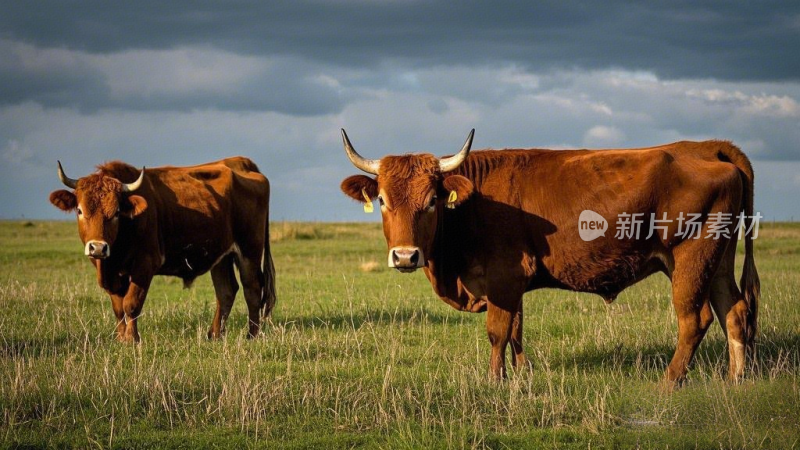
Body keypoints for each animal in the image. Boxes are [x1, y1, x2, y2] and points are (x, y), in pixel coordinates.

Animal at [50, 157, 278, 342]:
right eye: (79, 210)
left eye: (116, 212)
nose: (98, 247)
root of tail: (240, 162)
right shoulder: (114, 274)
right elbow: (118, 308)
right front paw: (121, 338)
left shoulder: (145, 265)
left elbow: (131, 304)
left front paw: (132, 339)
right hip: (221, 256)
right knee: (226, 291)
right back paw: (214, 335)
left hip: (249, 250)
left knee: (252, 289)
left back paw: (251, 336)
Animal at [340, 129, 764, 384]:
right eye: (382, 200)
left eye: (431, 201)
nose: (405, 256)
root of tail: (706, 147)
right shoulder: (512, 286)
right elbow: (516, 330)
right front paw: (520, 376)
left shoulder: (503, 278)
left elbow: (498, 331)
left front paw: (495, 381)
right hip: (718, 261)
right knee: (734, 312)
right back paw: (735, 380)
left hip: (691, 259)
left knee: (695, 320)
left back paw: (669, 382)